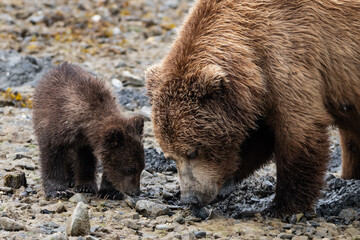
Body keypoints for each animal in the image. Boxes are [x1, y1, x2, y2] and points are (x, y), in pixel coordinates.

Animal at [146, 0, 360, 216]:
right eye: (170, 156)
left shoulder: (292, 58)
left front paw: (282, 206)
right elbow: (255, 139)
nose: (190, 198)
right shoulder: (258, 97)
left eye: (192, 151)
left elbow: (299, 132)